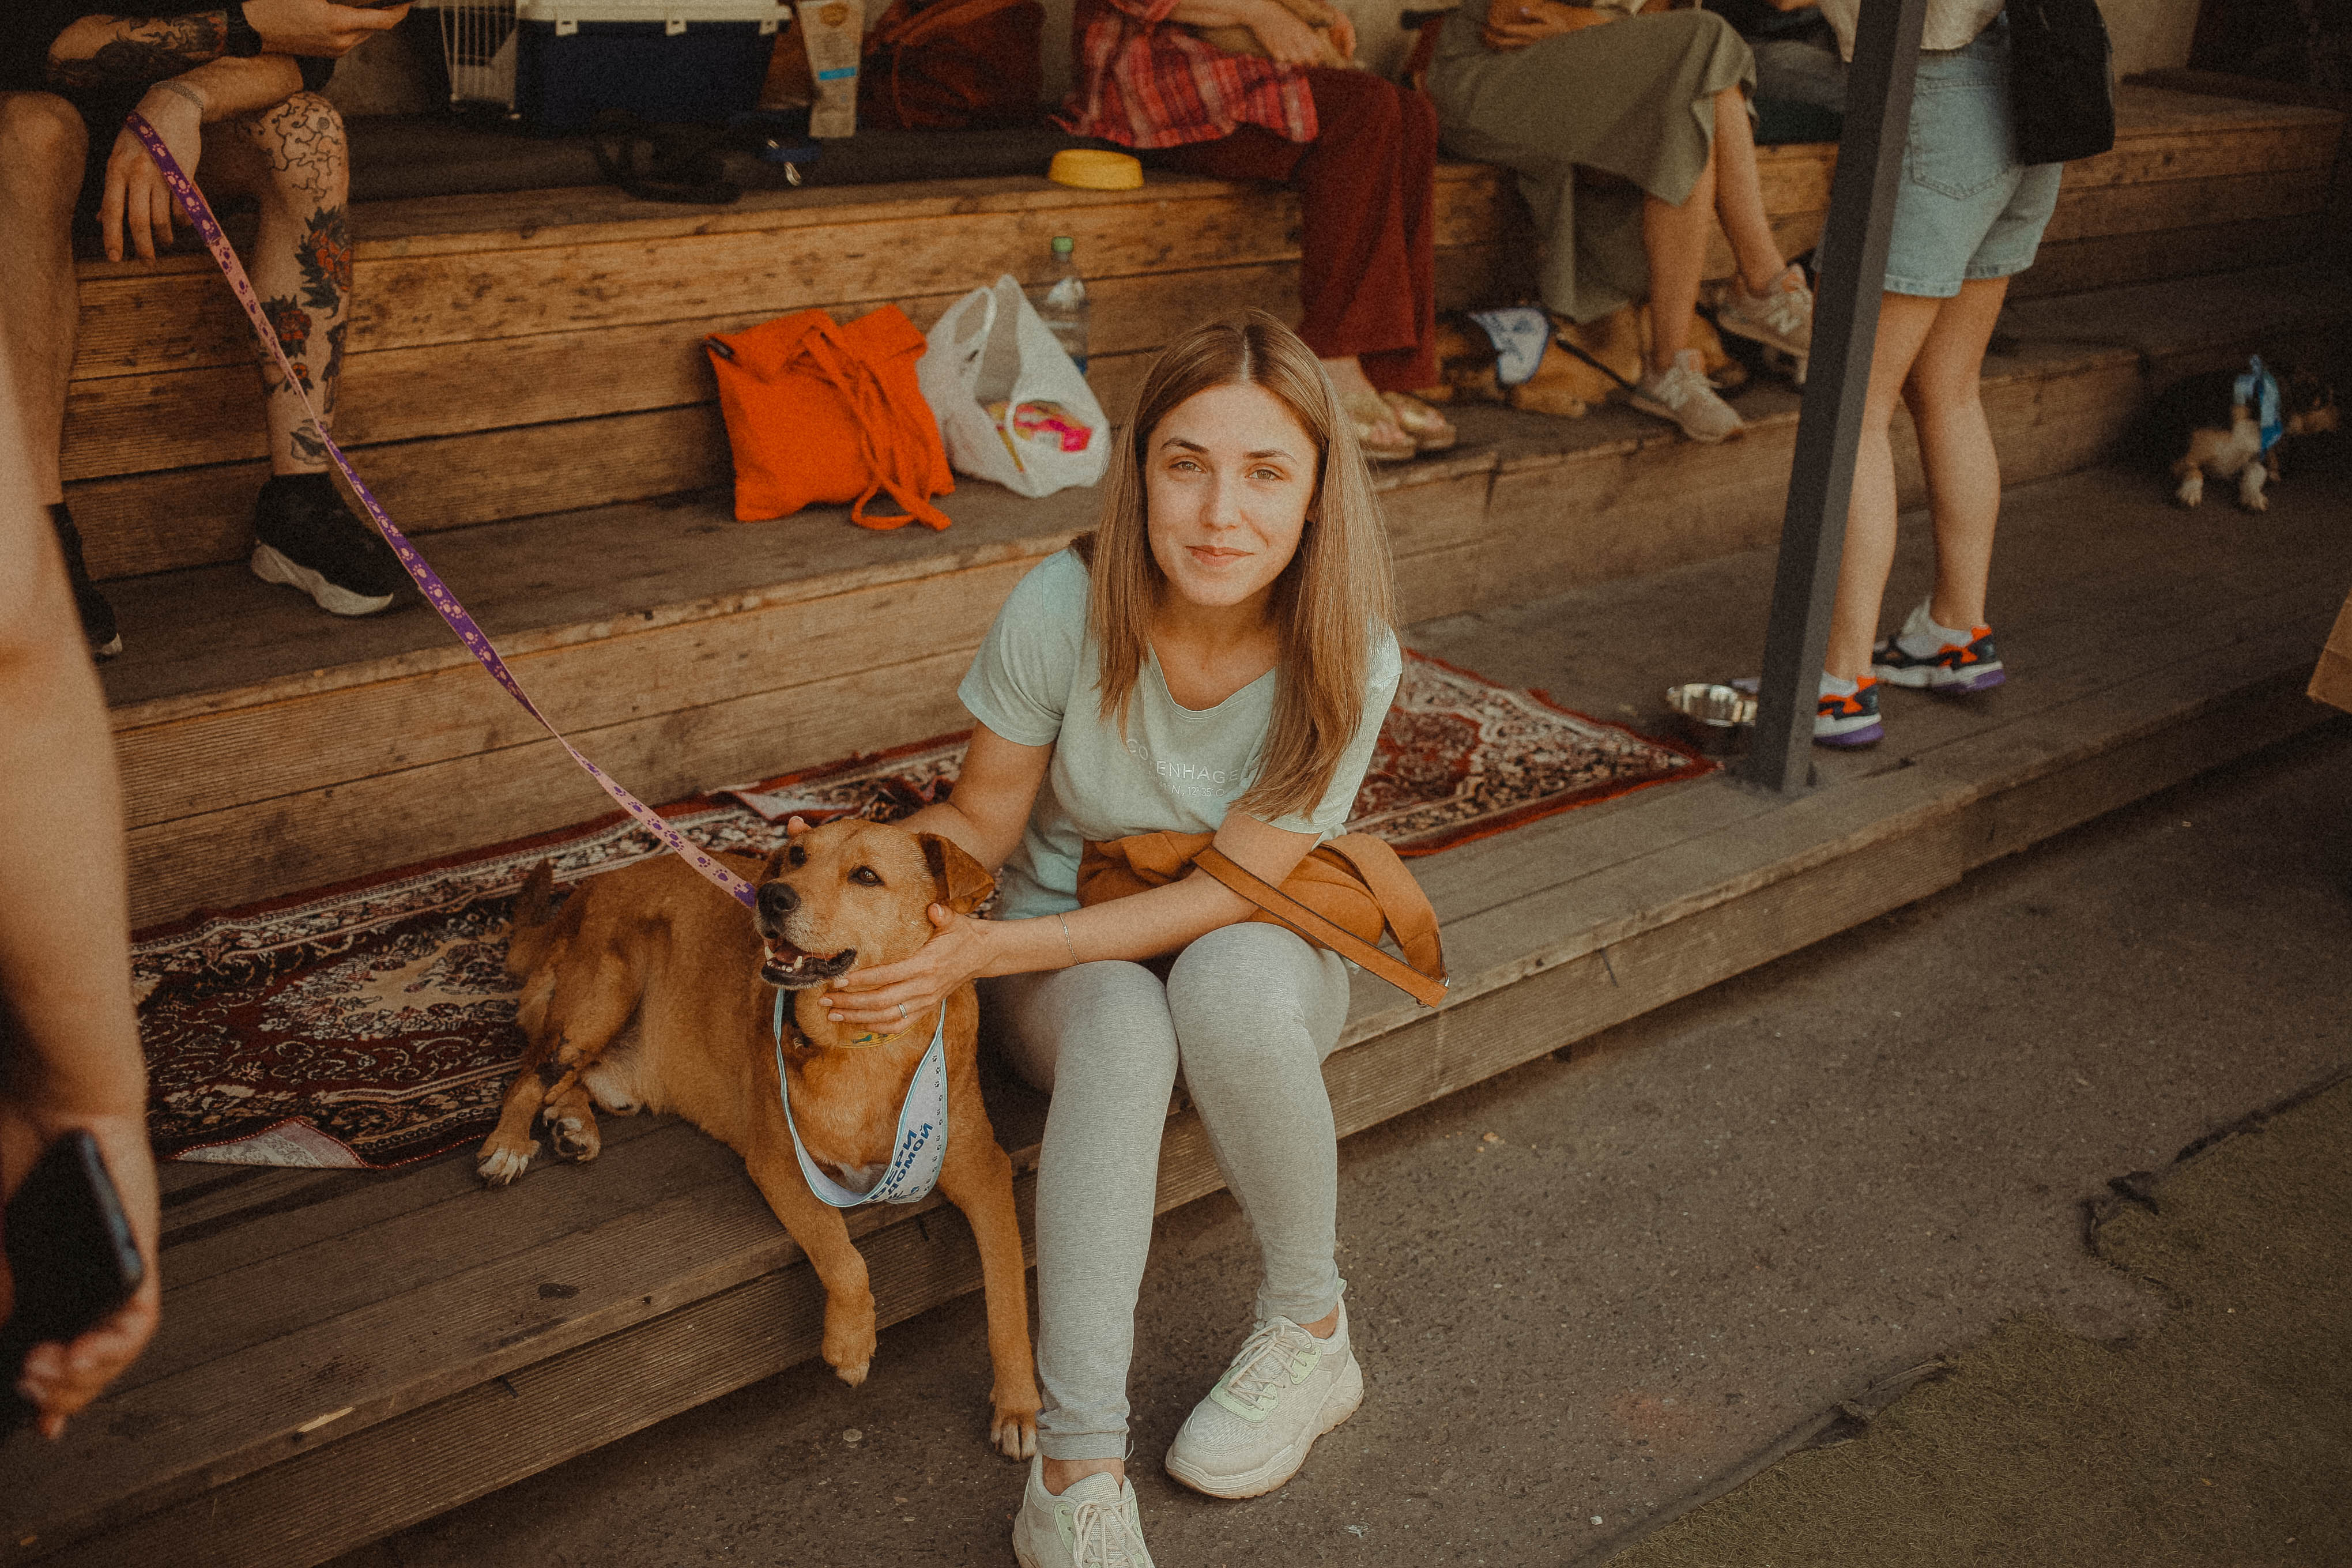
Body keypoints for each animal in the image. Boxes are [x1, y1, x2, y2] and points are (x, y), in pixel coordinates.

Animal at [477, 818, 1041, 1459]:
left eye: (866, 875)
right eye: (795, 855)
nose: (772, 896)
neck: (862, 1044)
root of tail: (594, 885)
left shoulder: (986, 1171)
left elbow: (1007, 1299)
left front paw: (1019, 1404)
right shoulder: (779, 1163)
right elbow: (843, 1255)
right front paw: (851, 1341)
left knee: (568, 1081)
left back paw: (573, 1125)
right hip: (600, 998)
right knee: (531, 1074)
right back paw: (509, 1144)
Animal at [2142, 357, 2339, 512]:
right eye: (2326, 400)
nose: (2340, 421)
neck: (2249, 413)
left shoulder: (2259, 457)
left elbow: (2254, 474)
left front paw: (2254, 497)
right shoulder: (2180, 459)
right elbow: (2195, 472)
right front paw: (2189, 493)